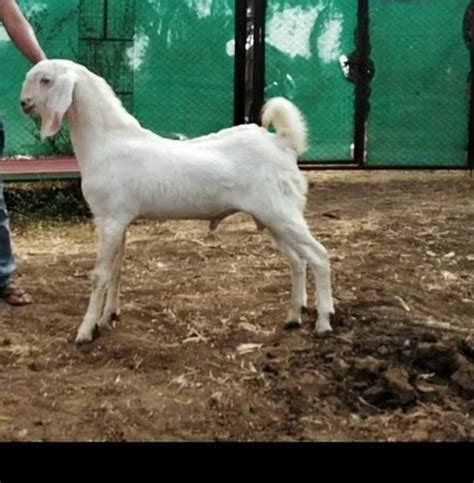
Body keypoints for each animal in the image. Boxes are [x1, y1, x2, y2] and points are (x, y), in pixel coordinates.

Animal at [20, 59, 336, 344]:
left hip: (283, 215)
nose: (24, 103)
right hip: (274, 219)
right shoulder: (120, 222)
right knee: (297, 261)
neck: (108, 142)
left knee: (319, 256)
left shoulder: (108, 221)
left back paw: (324, 322)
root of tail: (283, 143)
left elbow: (99, 275)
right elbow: (116, 271)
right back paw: (293, 317)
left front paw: (85, 331)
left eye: (46, 80)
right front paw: (107, 317)